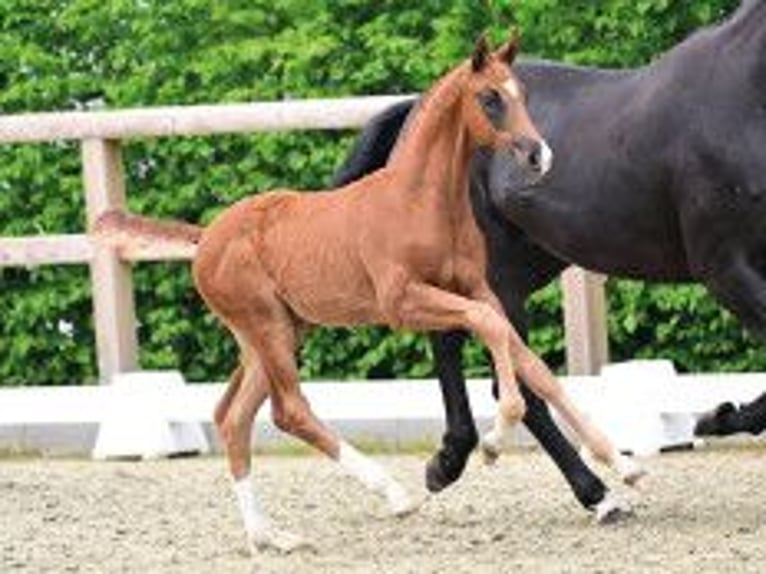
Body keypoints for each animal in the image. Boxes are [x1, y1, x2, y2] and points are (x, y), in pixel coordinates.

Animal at [95, 33, 643, 554]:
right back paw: (394, 494)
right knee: (289, 410)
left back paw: (270, 538)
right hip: (267, 328)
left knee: (232, 418)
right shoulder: (404, 302)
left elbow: (534, 367)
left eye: (523, 95)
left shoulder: (478, 290)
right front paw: (495, 439)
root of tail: (207, 236)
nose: (539, 155)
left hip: (274, 333)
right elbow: (494, 337)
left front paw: (623, 466)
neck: (419, 202)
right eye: (489, 98)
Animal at [332, 0, 766, 520]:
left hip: (523, 269)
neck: (744, 98)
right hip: (493, 279)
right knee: (505, 376)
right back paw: (588, 491)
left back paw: (460, 460)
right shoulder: (724, 267)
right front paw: (714, 419)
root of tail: (420, 108)